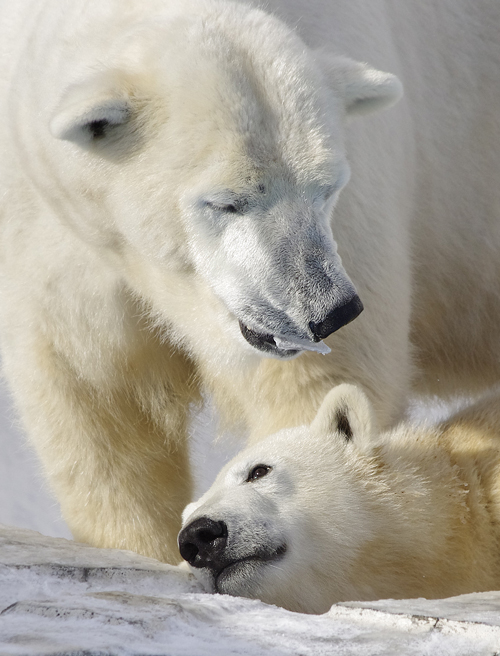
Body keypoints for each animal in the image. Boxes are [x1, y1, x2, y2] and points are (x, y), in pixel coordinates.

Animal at [0, 1, 498, 564]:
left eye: (328, 188)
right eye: (225, 201)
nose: (329, 312)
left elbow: (318, 389)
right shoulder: (51, 227)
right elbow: (92, 397)